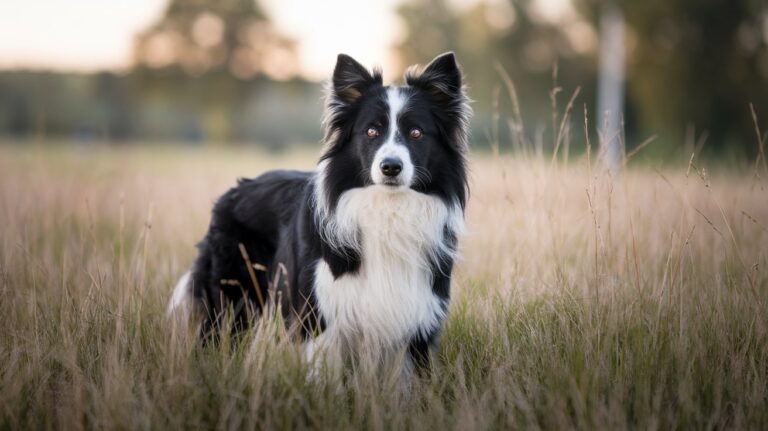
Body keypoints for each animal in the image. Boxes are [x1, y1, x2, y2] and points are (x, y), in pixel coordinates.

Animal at [168, 52, 472, 378]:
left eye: (416, 133)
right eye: (371, 131)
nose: (390, 167)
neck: (387, 210)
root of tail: (235, 189)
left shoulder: (417, 318)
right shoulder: (318, 316)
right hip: (232, 295)